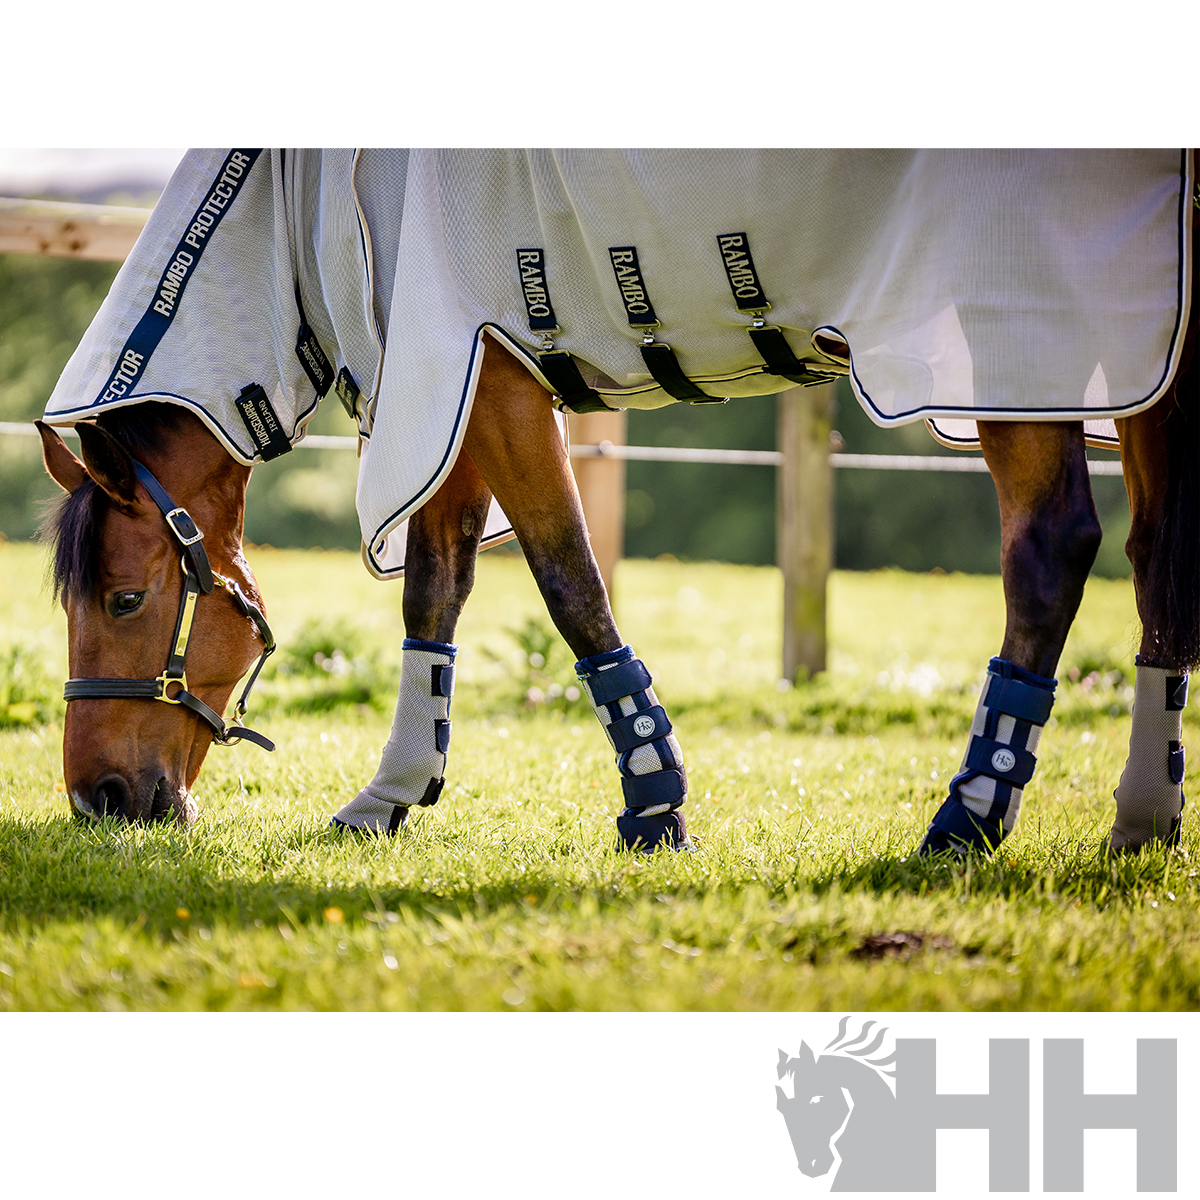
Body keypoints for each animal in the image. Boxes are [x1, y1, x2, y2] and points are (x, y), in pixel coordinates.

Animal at [34, 149, 1199, 856]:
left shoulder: (485, 371)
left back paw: (970, 812)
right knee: (1160, 559)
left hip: (1015, 344)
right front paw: (394, 791)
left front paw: (653, 799)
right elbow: (434, 596)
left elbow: (567, 580)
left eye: (127, 601)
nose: (96, 801)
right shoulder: (451, 386)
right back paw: (1144, 817)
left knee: (1052, 547)